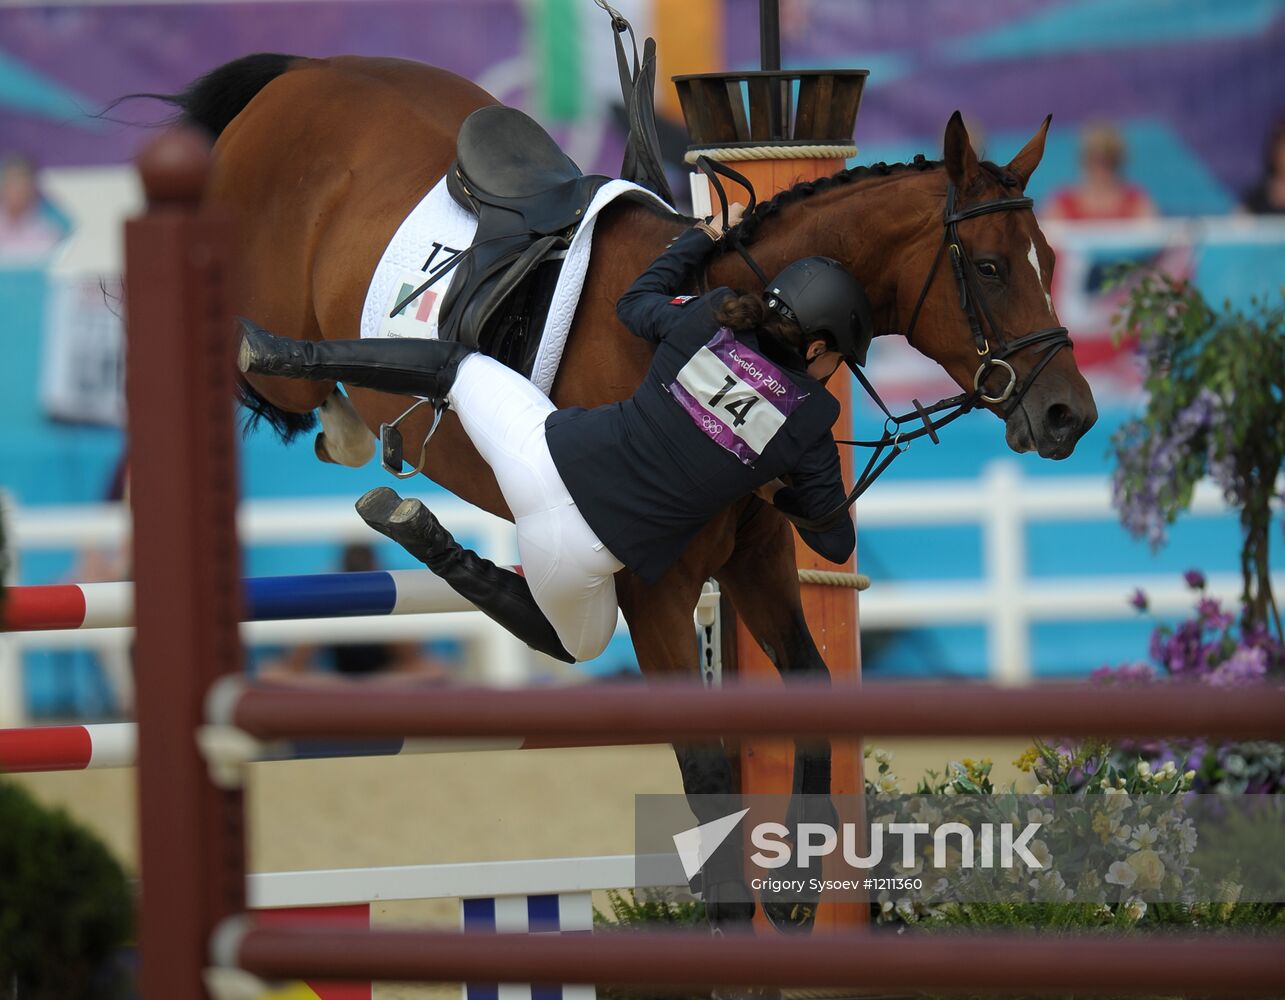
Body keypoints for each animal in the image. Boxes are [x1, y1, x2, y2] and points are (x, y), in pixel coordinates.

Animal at [158, 52, 1094, 925]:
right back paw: (324, 409)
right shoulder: (655, 587)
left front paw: (796, 880)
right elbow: (706, 767)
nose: (1069, 415)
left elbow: (809, 683)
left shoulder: (753, 556)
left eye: (1049, 259)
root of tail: (307, 71)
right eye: (989, 266)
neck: (734, 310)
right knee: (261, 373)